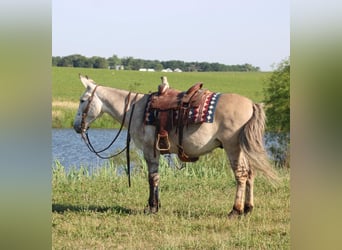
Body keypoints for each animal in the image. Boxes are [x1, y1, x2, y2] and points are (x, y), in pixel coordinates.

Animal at [73, 74, 278, 219]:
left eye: (82, 100)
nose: (76, 126)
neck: (135, 109)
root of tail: (250, 104)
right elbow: (155, 178)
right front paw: (155, 206)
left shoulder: (149, 150)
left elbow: (152, 178)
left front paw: (152, 207)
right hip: (242, 148)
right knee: (250, 174)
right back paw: (248, 208)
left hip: (232, 146)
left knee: (241, 175)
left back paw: (235, 211)